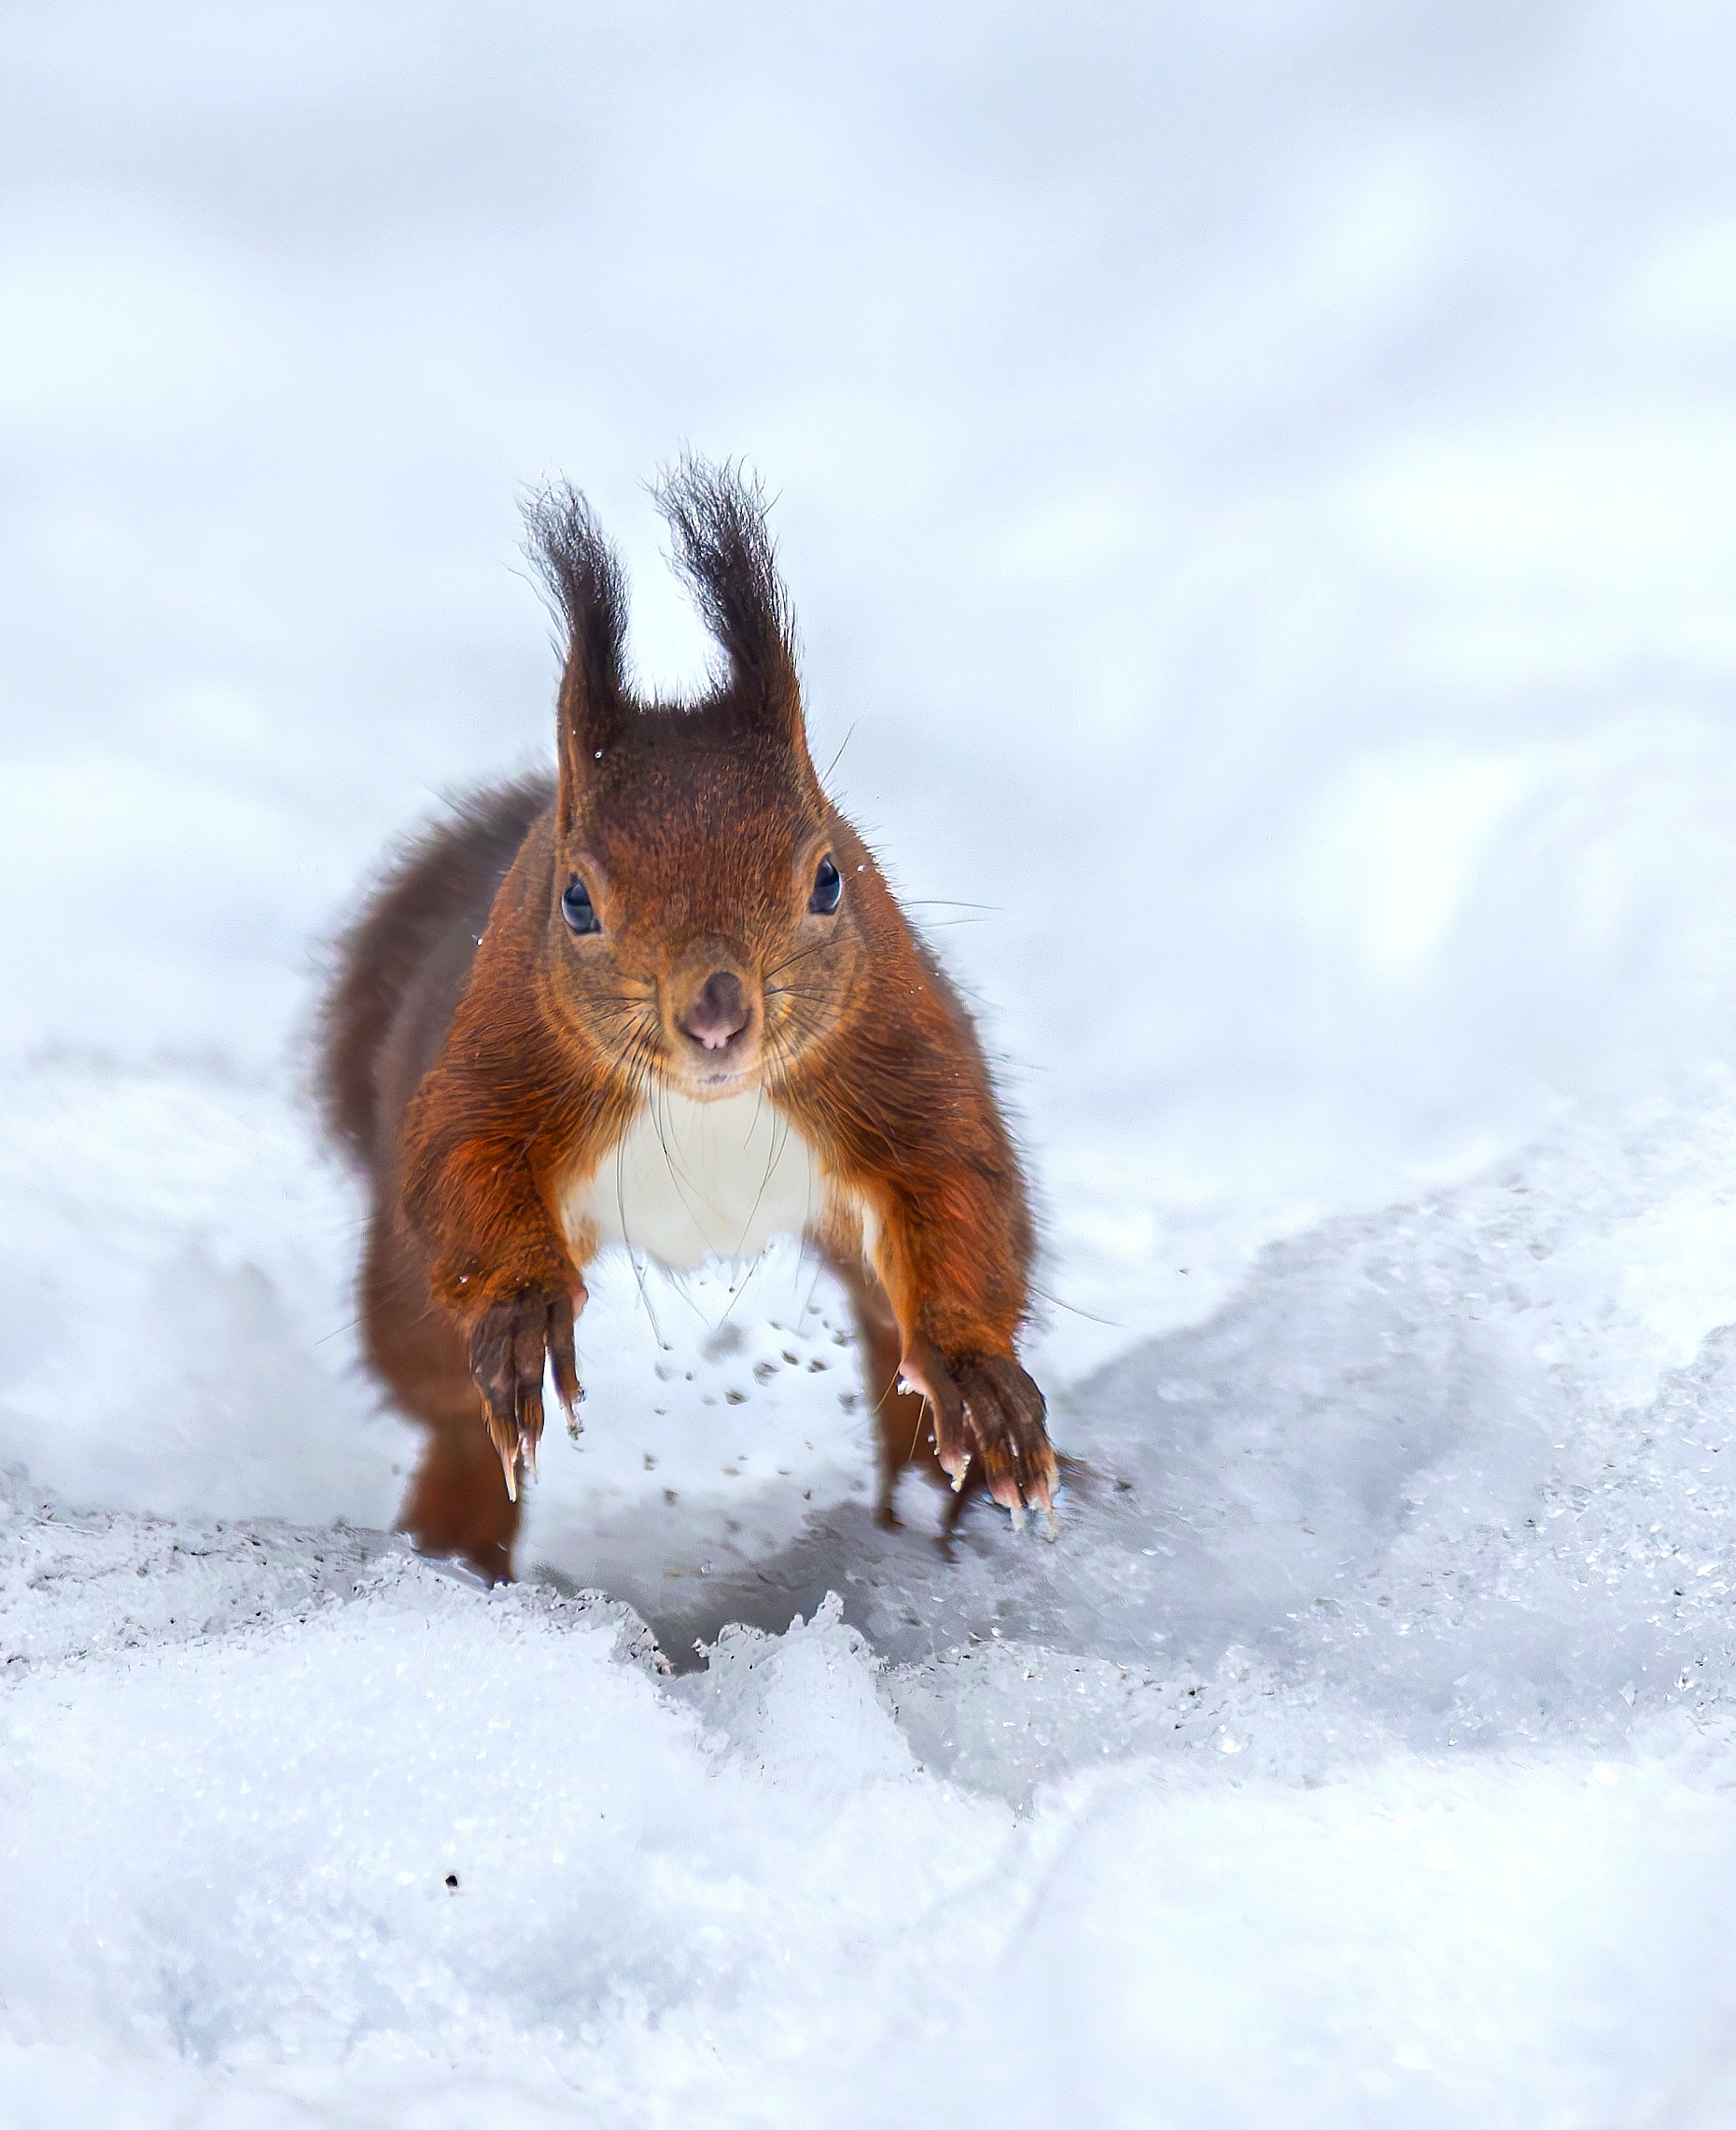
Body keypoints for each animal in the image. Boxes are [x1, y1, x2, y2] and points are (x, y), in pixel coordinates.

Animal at [323, 457, 1060, 1576]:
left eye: (831, 877)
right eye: (575, 899)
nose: (717, 1017)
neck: (710, 1103)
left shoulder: (899, 1057)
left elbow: (958, 1182)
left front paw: (978, 1368)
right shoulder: (500, 1059)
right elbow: (463, 1159)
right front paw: (525, 1308)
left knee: (896, 1357)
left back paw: (948, 1489)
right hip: (410, 1298)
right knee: (446, 1400)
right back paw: (456, 1530)